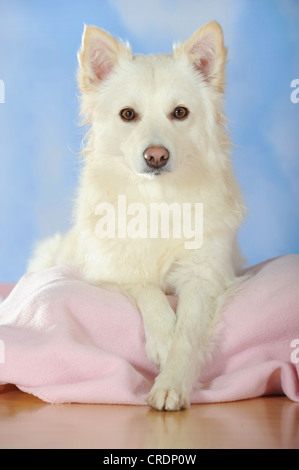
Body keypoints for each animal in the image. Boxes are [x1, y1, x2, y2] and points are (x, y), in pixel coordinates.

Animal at [28, 22, 246, 412]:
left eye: (180, 113)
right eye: (128, 115)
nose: (156, 156)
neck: (157, 200)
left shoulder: (204, 277)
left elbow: (187, 332)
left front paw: (171, 383)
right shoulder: (108, 273)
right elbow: (146, 288)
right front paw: (162, 338)